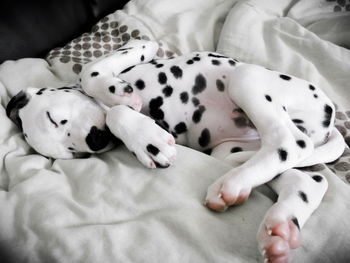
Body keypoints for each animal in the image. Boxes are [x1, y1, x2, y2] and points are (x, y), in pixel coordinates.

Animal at [6, 39, 344, 263]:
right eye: (75, 154)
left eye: (56, 118)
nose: (96, 141)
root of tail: (327, 117)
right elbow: (118, 114)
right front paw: (145, 138)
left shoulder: (112, 69)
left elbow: (92, 73)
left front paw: (126, 90)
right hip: (229, 150)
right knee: (305, 177)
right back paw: (274, 227)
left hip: (245, 78)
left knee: (290, 142)